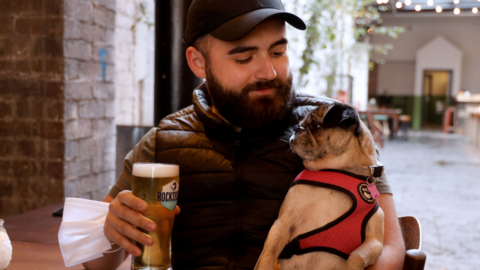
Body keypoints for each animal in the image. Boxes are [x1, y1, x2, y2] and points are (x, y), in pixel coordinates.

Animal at [256, 102, 384, 268]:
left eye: (316, 126)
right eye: (301, 124)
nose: (297, 128)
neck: (336, 170)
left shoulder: (374, 242)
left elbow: (356, 256)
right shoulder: (282, 224)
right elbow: (268, 254)